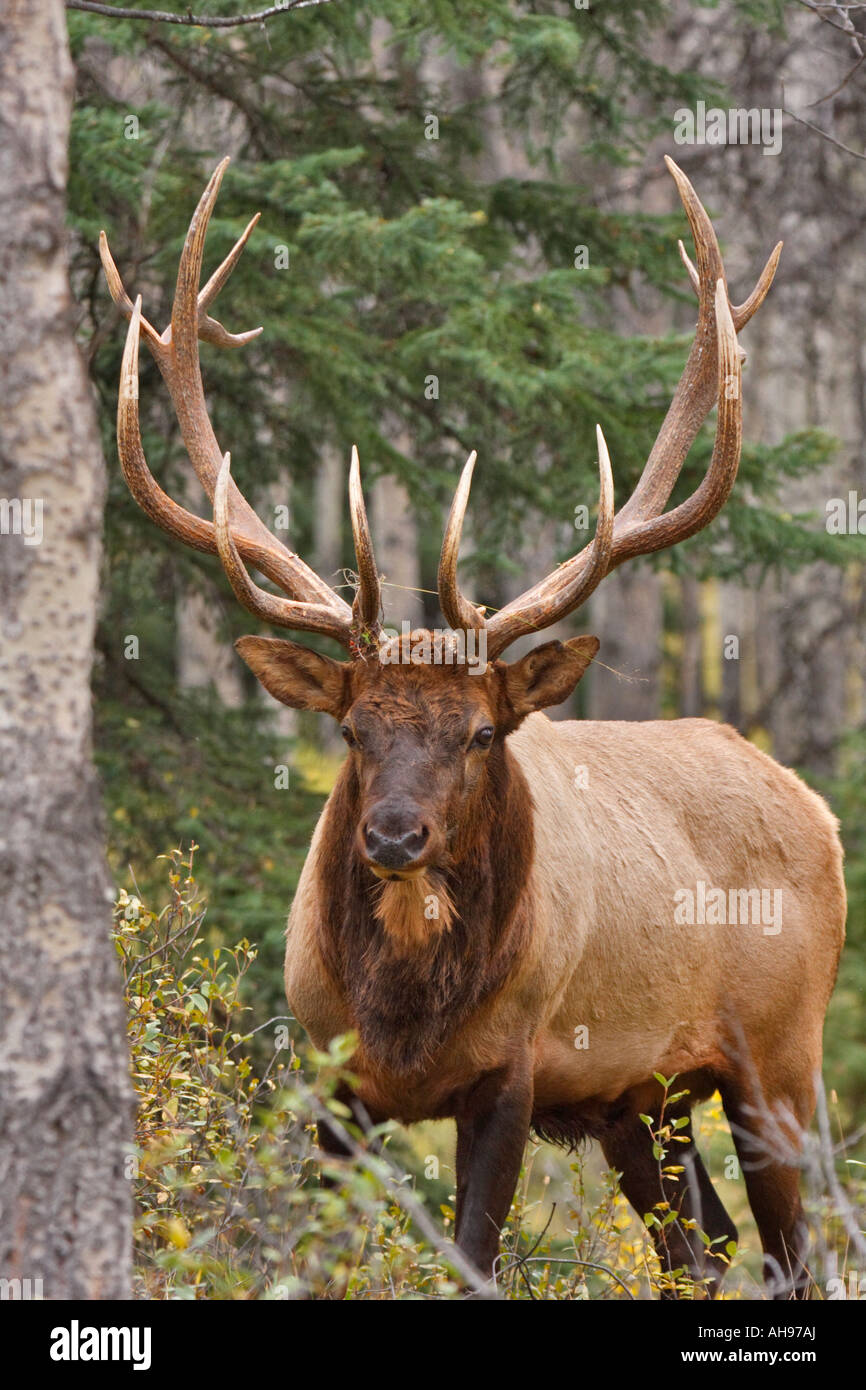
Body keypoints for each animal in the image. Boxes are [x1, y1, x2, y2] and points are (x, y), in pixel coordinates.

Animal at [101, 157, 845, 1295]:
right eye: (354, 729)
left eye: (482, 734)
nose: (394, 834)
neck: (409, 1023)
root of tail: (815, 807)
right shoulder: (331, 1076)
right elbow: (321, 1259)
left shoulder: (513, 1068)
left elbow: (472, 1259)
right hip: (644, 1099)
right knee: (701, 1244)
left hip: (780, 1054)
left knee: (792, 1252)